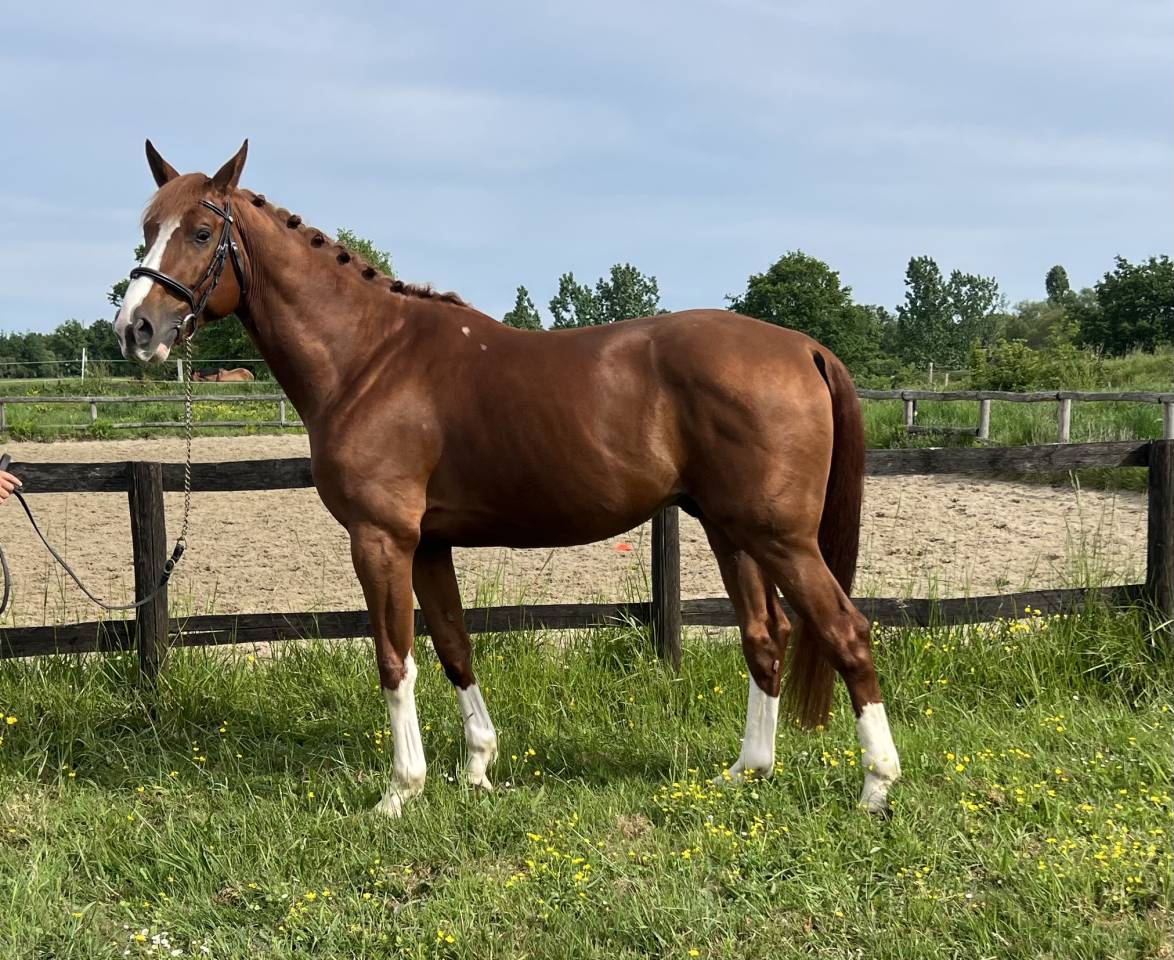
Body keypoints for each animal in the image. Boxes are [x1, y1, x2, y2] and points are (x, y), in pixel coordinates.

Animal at [113, 141, 901, 818]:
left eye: (202, 232)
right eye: (146, 229)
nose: (136, 330)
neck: (370, 357)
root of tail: (801, 347)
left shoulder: (381, 540)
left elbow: (395, 660)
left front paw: (400, 791)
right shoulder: (429, 545)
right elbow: (455, 648)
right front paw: (478, 769)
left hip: (781, 538)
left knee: (847, 631)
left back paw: (876, 787)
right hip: (732, 531)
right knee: (766, 637)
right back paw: (747, 772)